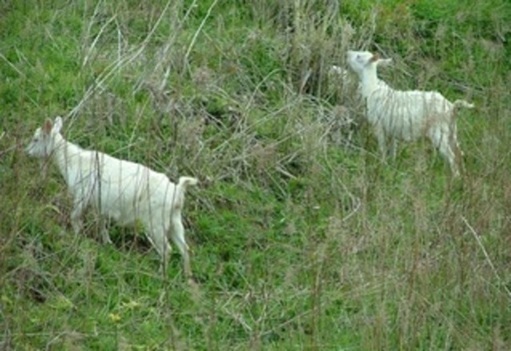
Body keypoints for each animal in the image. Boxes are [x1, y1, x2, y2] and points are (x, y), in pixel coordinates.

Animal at [26, 117, 199, 280]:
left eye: (36, 139)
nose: (27, 152)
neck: (74, 161)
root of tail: (177, 191)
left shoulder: (82, 196)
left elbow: (74, 217)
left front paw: (77, 238)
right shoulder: (99, 204)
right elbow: (101, 222)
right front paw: (106, 242)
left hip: (155, 221)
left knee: (167, 249)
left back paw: (161, 275)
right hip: (174, 220)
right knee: (184, 248)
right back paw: (188, 276)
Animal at [346, 49, 474, 176]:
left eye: (358, 56)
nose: (347, 53)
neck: (372, 89)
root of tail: (452, 107)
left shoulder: (379, 126)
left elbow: (382, 149)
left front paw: (381, 166)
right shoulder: (391, 130)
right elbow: (392, 149)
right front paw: (391, 166)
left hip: (439, 132)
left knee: (451, 157)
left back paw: (455, 178)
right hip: (451, 131)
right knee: (459, 153)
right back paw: (463, 176)